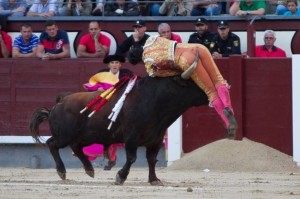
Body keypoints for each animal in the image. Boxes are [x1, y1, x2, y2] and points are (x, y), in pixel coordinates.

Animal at [30, 75, 209, 186]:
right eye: (195, 82)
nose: (212, 91)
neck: (155, 100)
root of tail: (60, 102)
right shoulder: (132, 139)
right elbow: (132, 158)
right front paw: (120, 177)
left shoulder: (155, 140)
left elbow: (152, 160)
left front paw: (154, 180)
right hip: (64, 136)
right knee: (52, 143)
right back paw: (62, 171)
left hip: (87, 136)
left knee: (76, 147)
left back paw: (89, 169)